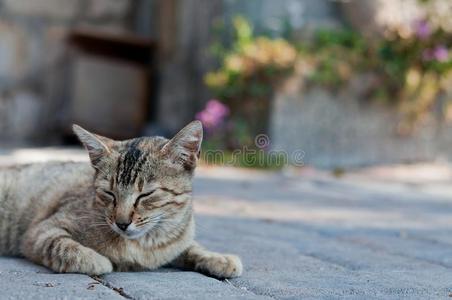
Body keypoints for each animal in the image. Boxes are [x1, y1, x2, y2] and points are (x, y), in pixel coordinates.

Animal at [0, 120, 242, 278]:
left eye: (146, 194)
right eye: (109, 193)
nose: (122, 223)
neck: (146, 245)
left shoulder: (176, 243)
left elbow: (192, 247)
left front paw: (218, 258)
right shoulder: (41, 231)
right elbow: (62, 245)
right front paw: (97, 259)